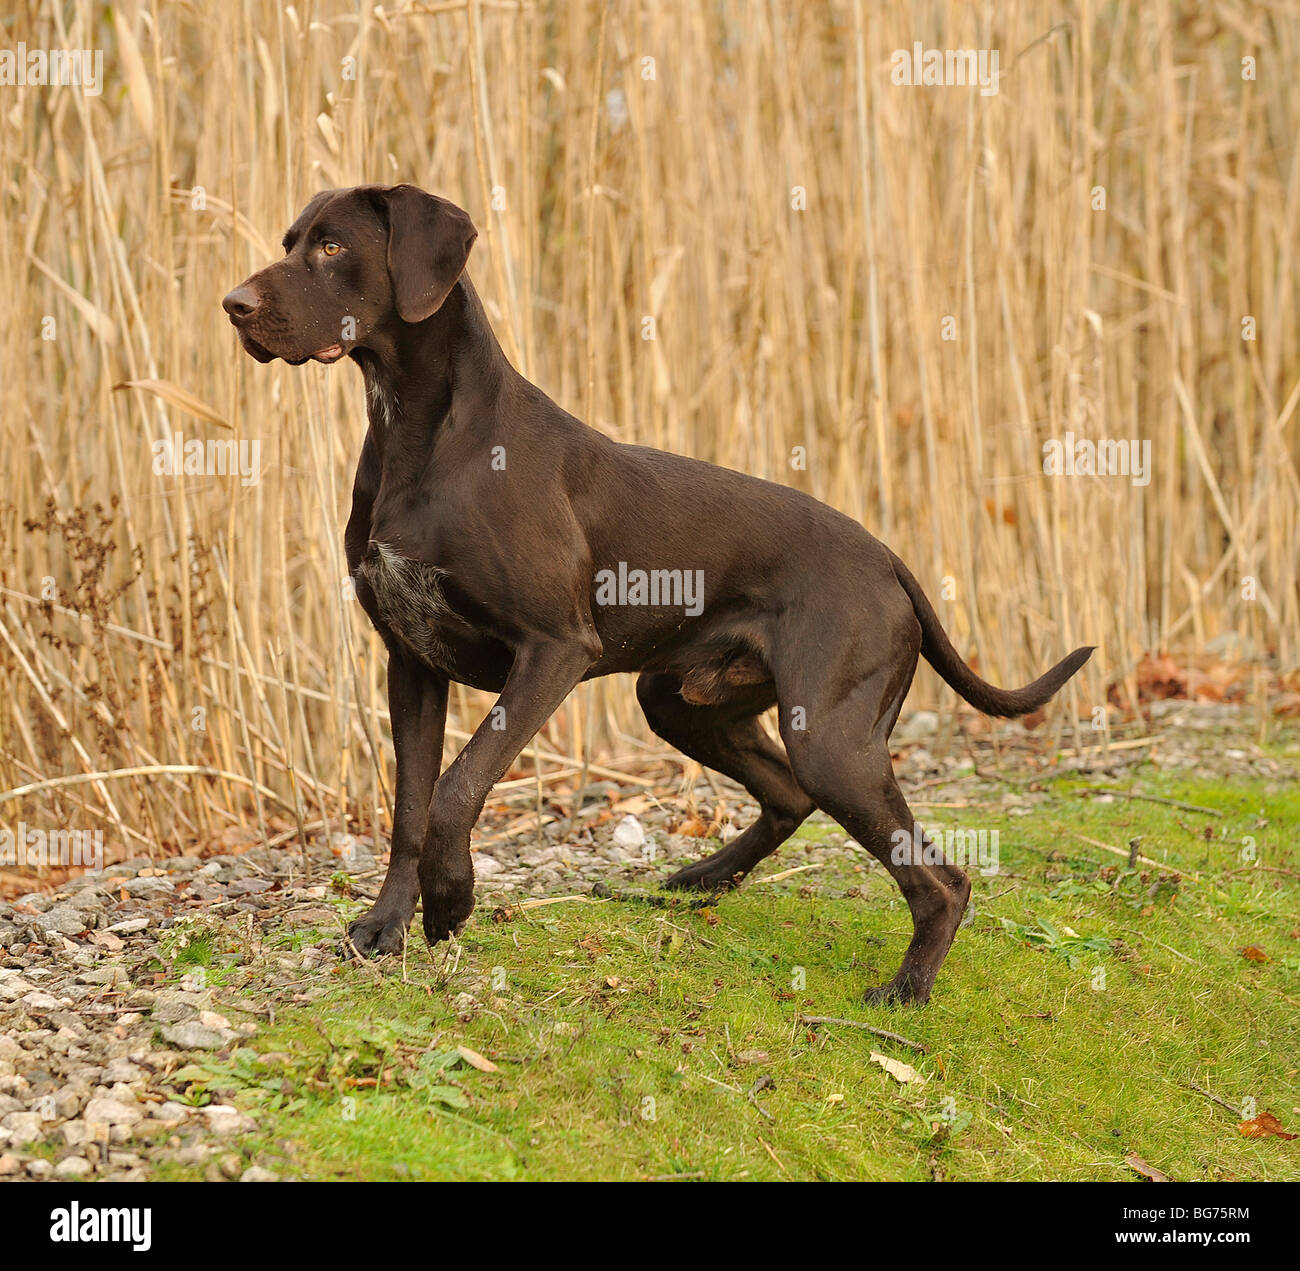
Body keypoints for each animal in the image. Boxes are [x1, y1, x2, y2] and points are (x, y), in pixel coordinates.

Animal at [223, 185, 1086, 1003]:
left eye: (333, 247)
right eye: (290, 242)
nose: (233, 304)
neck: (418, 434)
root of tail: (888, 558)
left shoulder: (553, 650)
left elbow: (456, 786)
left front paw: (451, 899)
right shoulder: (410, 662)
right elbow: (408, 805)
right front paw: (388, 923)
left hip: (832, 736)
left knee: (942, 878)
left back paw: (907, 990)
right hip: (680, 701)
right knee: (787, 795)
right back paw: (702, 879)